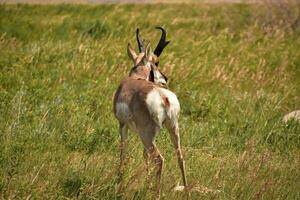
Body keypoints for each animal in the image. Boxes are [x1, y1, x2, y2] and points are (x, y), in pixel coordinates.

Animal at [113, 27, 186, 198]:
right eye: (156, 62)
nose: (165, 79)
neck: (136, 77)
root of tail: (164, 97)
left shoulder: (122, 125)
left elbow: (123, 152)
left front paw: (119, 181)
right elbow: (144, 155)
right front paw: (147, 185)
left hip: (146, 135)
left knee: (159, 159)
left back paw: (157, 195)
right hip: (173, 129)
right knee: (180, 157)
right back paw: (187, 194)